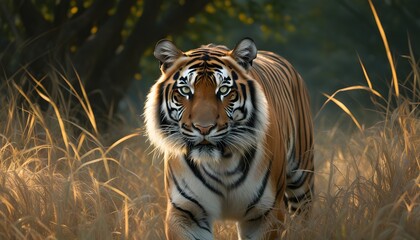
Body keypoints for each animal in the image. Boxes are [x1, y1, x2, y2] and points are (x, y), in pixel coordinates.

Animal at [144, 38, 312, 239]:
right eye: (185, 90)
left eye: (224, 89)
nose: (204, 128)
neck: (222, 162)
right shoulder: (186, 212)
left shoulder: (265, 212)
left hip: (301, 183)